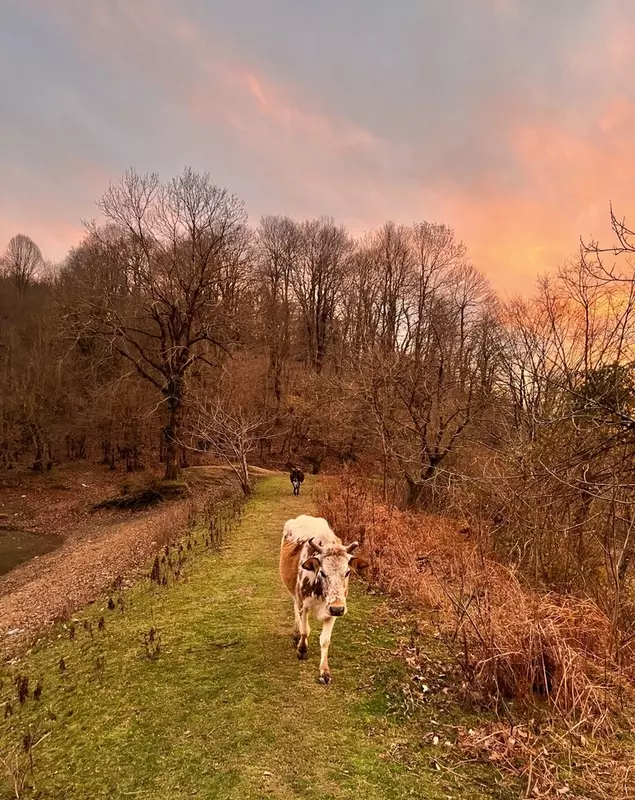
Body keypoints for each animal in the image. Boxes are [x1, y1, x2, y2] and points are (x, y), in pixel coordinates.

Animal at [278, 516, 368, 684]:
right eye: (323, 572)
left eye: (347, 572)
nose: (337, 608)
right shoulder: (304, 604)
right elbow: (304, 630)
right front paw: (302, 649)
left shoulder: (333, 610)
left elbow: (325, 640)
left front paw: (324, 671)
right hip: (293, 592)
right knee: (295, 608)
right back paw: (295, 634)